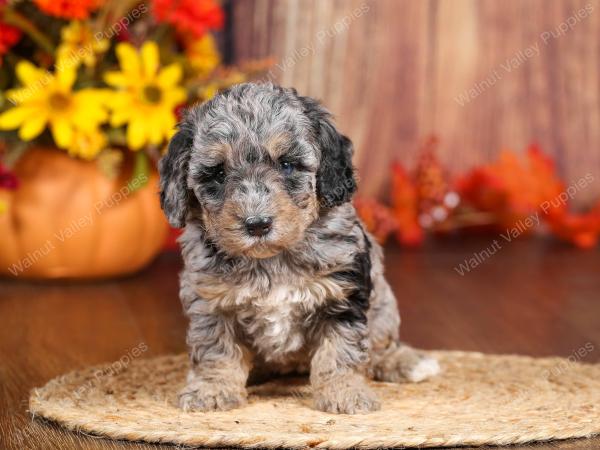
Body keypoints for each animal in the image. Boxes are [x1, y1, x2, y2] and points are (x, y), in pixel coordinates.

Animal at [158, 82, 440, 414]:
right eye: (217, 173)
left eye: (287, 164)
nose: (257, 224)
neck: (271, 260)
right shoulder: (210, 301)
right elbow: (216, 349)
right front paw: (211, 390)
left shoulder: (342, 294)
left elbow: (340, 350)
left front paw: (345, 393)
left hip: (383, 303)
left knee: (382, 345)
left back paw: (406, 362)